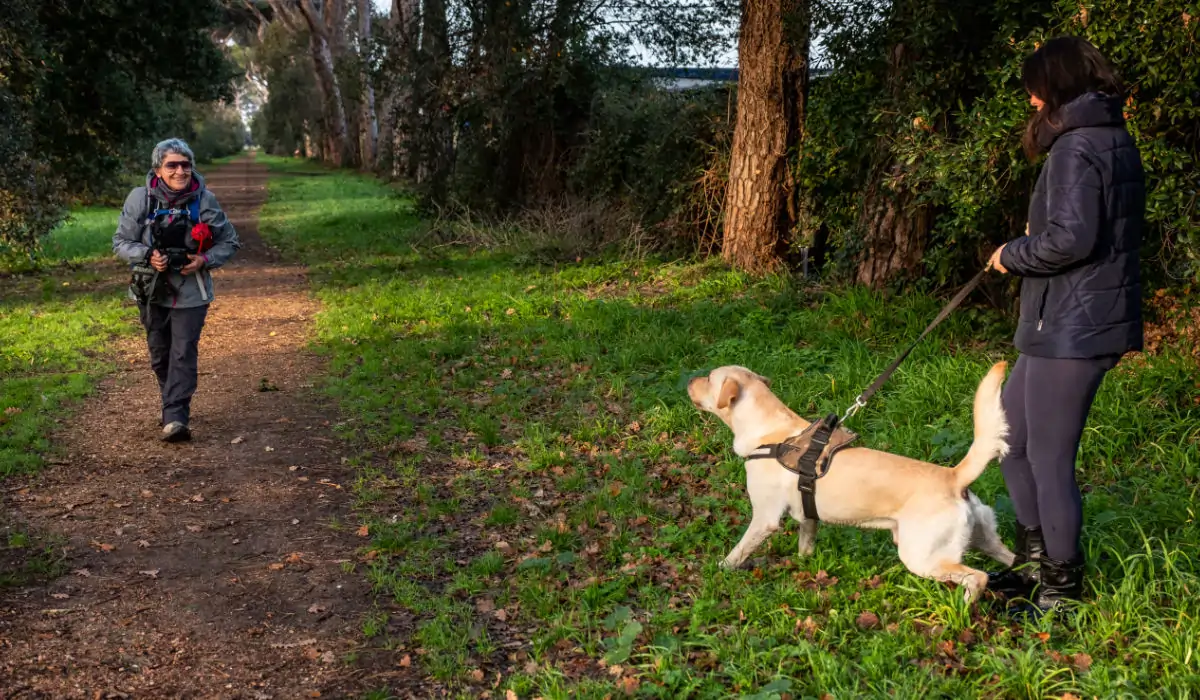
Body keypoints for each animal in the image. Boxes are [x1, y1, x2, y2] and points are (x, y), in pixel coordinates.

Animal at [691, 362, 1017, 602]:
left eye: (708, 378)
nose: (690, 379)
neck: (770, 435)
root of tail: (954, 476)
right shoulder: (808, 517)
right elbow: (805, 546)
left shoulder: (764, 519)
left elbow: (738, 551)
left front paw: (721, 570)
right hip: (985, 539)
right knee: (1014, 560)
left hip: (922, 557)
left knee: (978, 577)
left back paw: (964, 608)